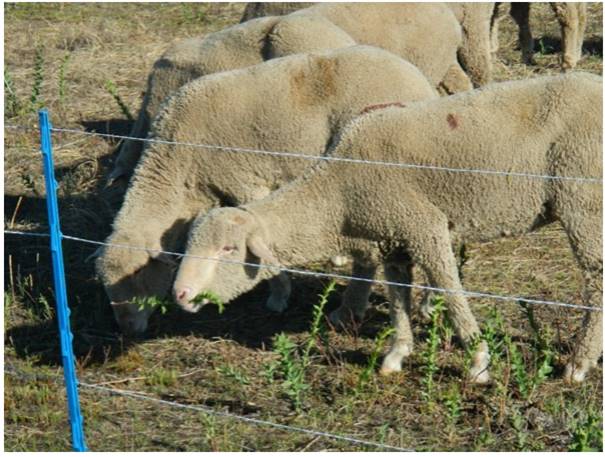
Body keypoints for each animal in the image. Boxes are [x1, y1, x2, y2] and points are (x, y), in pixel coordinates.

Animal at [95, 46, 438, 334]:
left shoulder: (245, 183)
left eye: (139, 273)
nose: (127, 328)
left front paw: (279, 295)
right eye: (105, 283)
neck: (177, 163)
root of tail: (418, 79)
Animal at [172, 71, 600, 382]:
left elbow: (449, 287)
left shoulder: (423, 225)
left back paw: (578, 365)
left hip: (583, 203)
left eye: (228, 249)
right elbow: (398, 295)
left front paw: (478, 361)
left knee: (596, 283)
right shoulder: (393, 238)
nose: (180, 294)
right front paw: (397, 353)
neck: (338, 193)